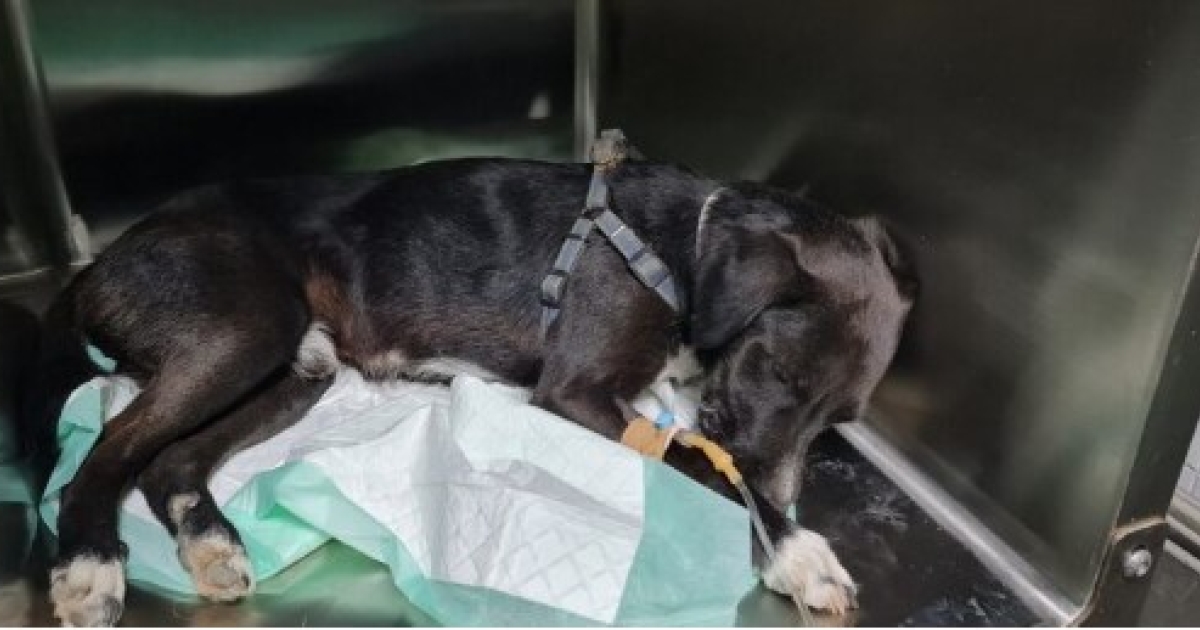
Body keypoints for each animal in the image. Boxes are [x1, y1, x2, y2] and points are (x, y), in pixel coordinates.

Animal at [27, 156, 915, 626]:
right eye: (781, 375)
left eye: (840, 422)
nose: (788, 490)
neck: (682, 248)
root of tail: (98, 263)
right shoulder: (579, 391)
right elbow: (704, 464)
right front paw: (798, 550)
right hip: (242, 329)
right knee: (104, 454)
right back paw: (89, 564)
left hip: (299, 370)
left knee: (167, 463)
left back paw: (210, 541)